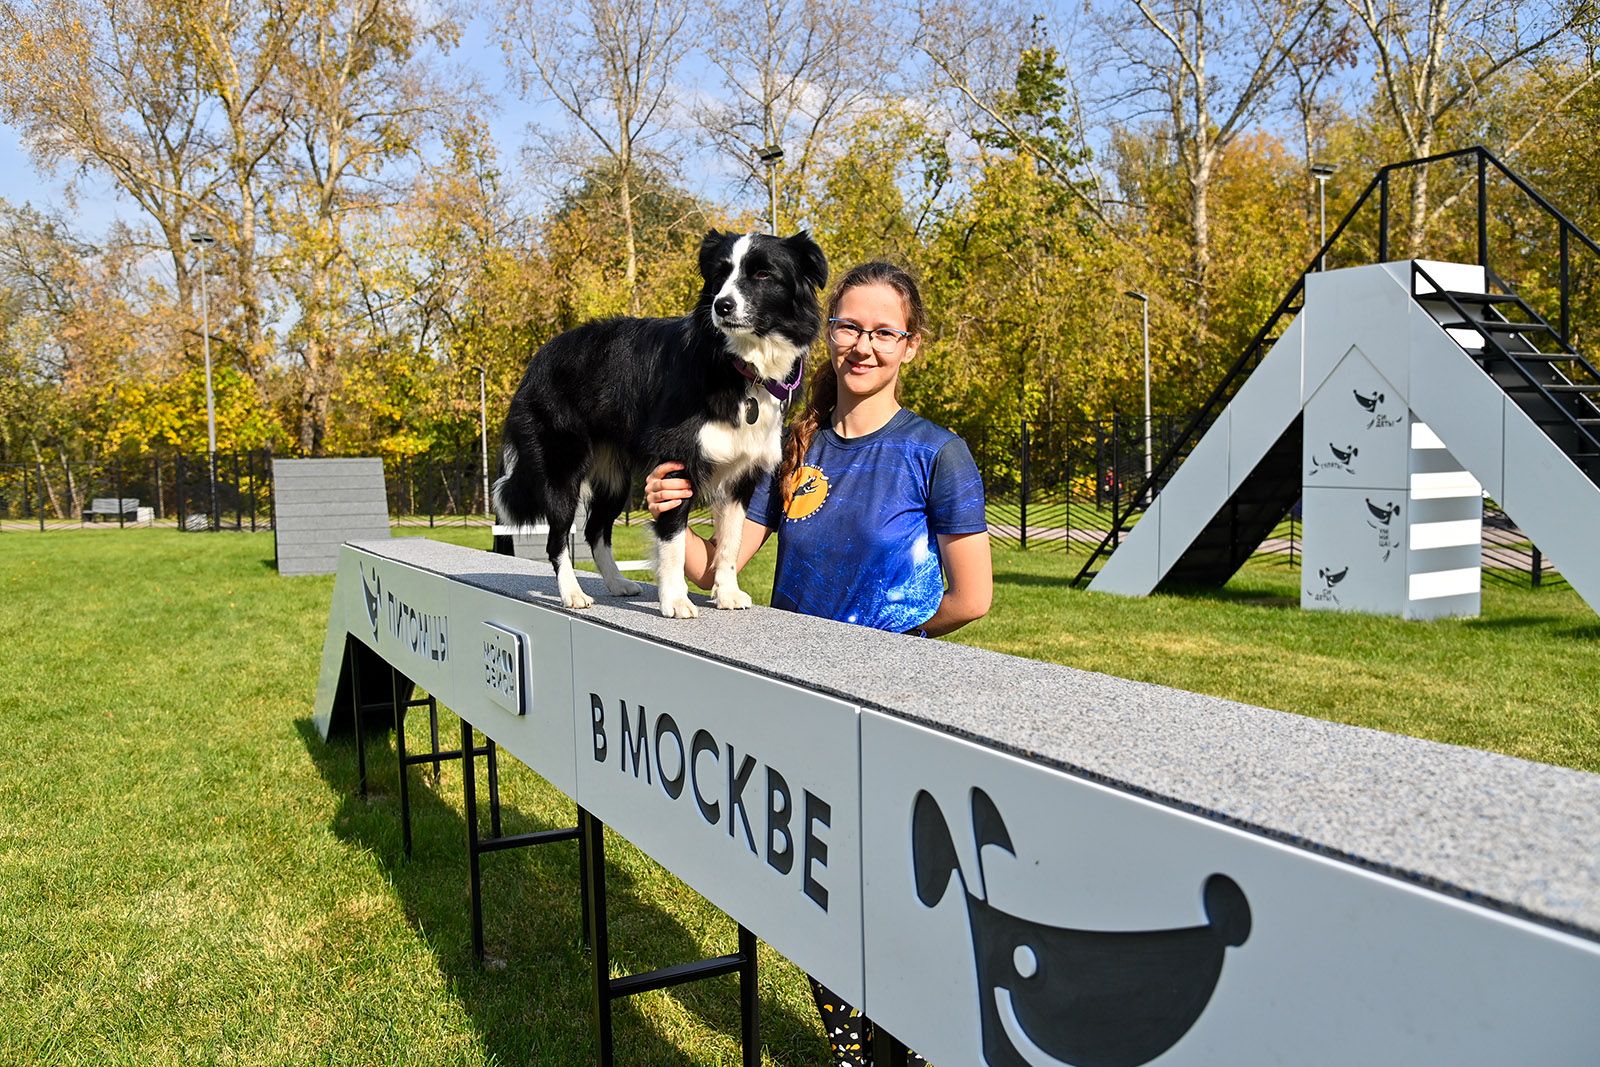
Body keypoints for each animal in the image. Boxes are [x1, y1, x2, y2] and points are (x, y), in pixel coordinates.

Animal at [496, 230, 825, 620]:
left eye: (762, 274)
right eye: (720, 275)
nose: (722, 306)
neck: (739, 364)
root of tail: (538, 359)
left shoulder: (741, 474)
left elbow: (730, 541)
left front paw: (727, 592)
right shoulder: (676, 463)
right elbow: (673, 539)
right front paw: (675, 600)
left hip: (614, 476)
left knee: (595, 530)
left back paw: (617, 583)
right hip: (562, 467)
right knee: (557, 536)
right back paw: (572, 593)